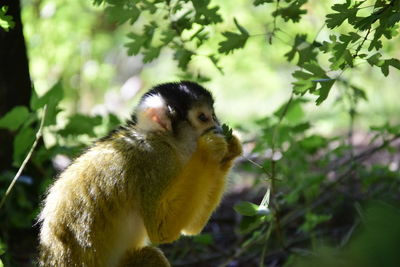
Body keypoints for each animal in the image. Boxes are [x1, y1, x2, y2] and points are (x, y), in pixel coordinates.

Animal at [39, 81, 242, 266]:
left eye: (213, 115)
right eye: (203, 117)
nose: (217, 126)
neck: (162, 139)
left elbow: (191, 228)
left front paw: (230, 149)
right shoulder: (157, 160)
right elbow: (162, 229)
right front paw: (209, 149)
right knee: (151, 254)